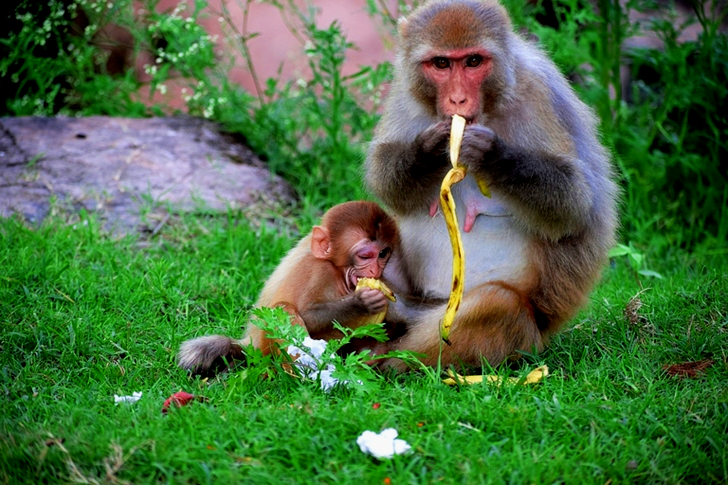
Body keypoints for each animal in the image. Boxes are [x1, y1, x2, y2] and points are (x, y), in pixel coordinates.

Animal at [178, 201, 401, 375]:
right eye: (365, 256)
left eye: (382, 254)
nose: (374, 270)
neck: (337, 270)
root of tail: (251, 345)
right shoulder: (317, 271)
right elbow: (307, 315)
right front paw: (361, 302)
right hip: (268, 347)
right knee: (283, 308)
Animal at [365, 0, 619, 371]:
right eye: (441, 63)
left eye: (473, 61)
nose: (457, 100)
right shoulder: (405, 91)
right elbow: (384, 177)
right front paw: (430, 150)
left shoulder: (537, 92)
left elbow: (575, 203)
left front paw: (491, 154)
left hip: (518, 335)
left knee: (496, 303)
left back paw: (388, 361)